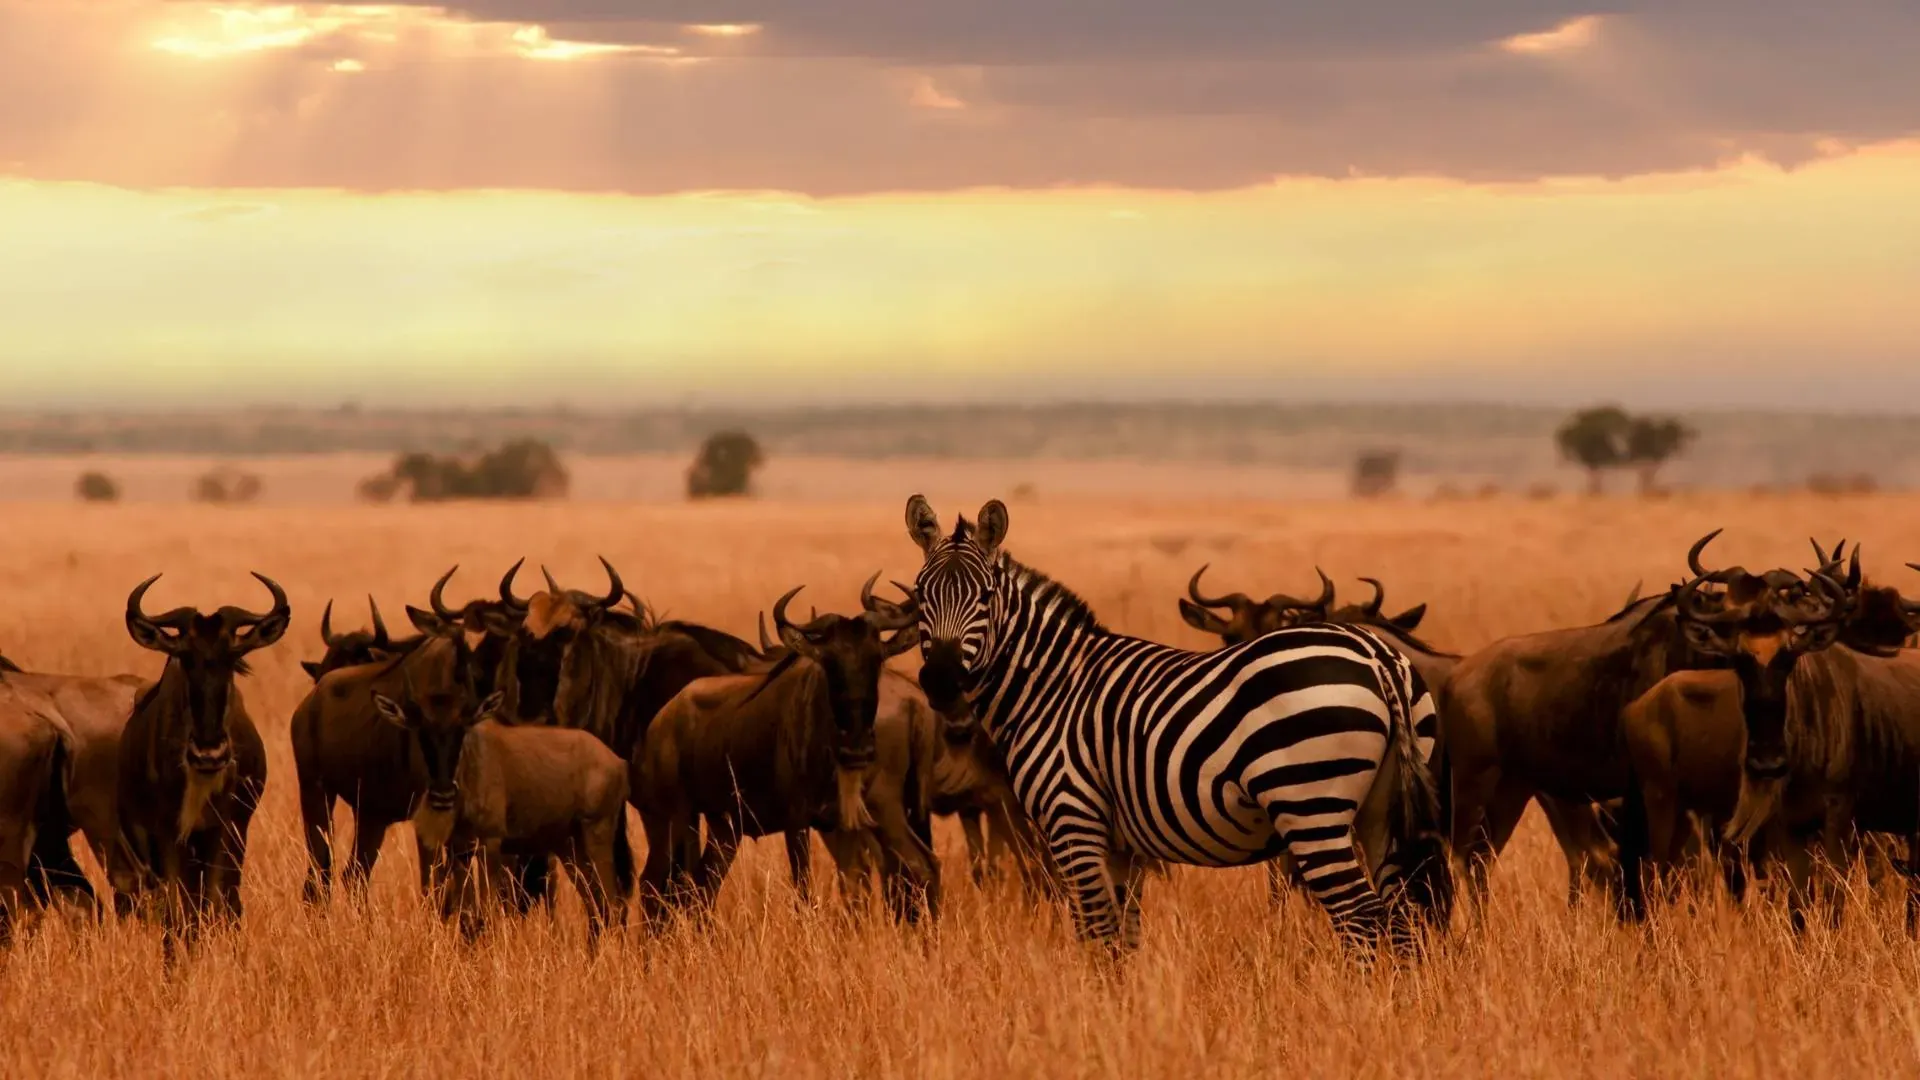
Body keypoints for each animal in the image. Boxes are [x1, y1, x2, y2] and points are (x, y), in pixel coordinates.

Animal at [903, 494, 1451, 955]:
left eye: (984, 597)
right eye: (919, 594)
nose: (942, 680)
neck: (1053, 685)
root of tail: (1377, 654)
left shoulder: (1073, 819)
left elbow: (1095, 934)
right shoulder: (1122, 844)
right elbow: (1122, 938)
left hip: (1311, 806)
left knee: (1362, 917)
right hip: (1380, 811)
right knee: (1401, 918)